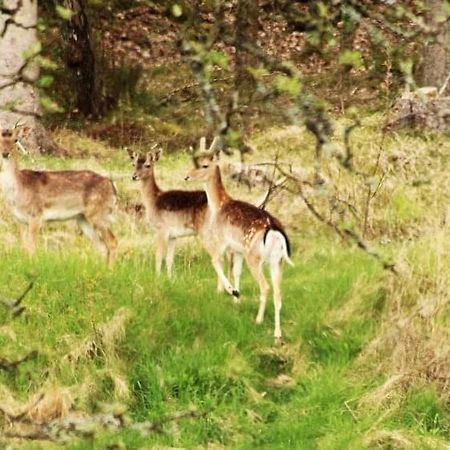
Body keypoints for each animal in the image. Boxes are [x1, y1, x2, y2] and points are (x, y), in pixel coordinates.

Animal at [0, 125, 118, 264]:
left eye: (15, 140)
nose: (5, 153)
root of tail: (112, 186)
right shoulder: (19, 220)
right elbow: (24, 248)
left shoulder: (36, 214)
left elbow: (32, 247)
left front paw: (33, 264)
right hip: (83, 218)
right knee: (100, 246)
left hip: (99, 213)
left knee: (112, 241)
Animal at [185, 136, 294, 338]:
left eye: (204, 165)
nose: (187, 176)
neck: (217, 206)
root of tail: (275, 231)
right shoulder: (238, 251)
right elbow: (236, 271)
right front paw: (237, 298)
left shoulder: (222, 241)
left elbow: (215, 262)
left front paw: (232, 291)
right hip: (278, 261)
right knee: (278, 292)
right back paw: (277, 333)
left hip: (255, 257)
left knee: (265, 287)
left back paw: (258, 320)